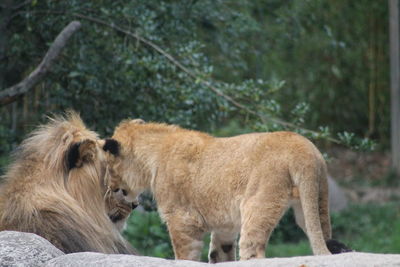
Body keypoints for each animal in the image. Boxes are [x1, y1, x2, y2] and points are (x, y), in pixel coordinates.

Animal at [104, 119, 350, 262]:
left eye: (108, 167)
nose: (110, 188)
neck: (154, 155)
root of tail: (302, 148)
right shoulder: (225, 225)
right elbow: (219, 254)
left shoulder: (182, 220)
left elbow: (185, 257)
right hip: (315, 199)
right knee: (322, 233)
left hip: (258, 204)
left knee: (253, 250)